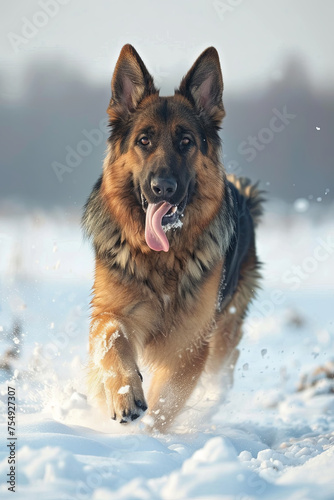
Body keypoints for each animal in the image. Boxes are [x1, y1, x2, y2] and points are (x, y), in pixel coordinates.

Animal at [82, 45, 262, 432]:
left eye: (186, 142)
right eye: (144, 140)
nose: (162, 187)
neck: (162, 258)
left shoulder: (189, 345)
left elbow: (166, 401)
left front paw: (150, 436)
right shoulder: (110, 312)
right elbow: (112, 340)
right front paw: (124, 396)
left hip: (224, 337)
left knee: (218, 380)